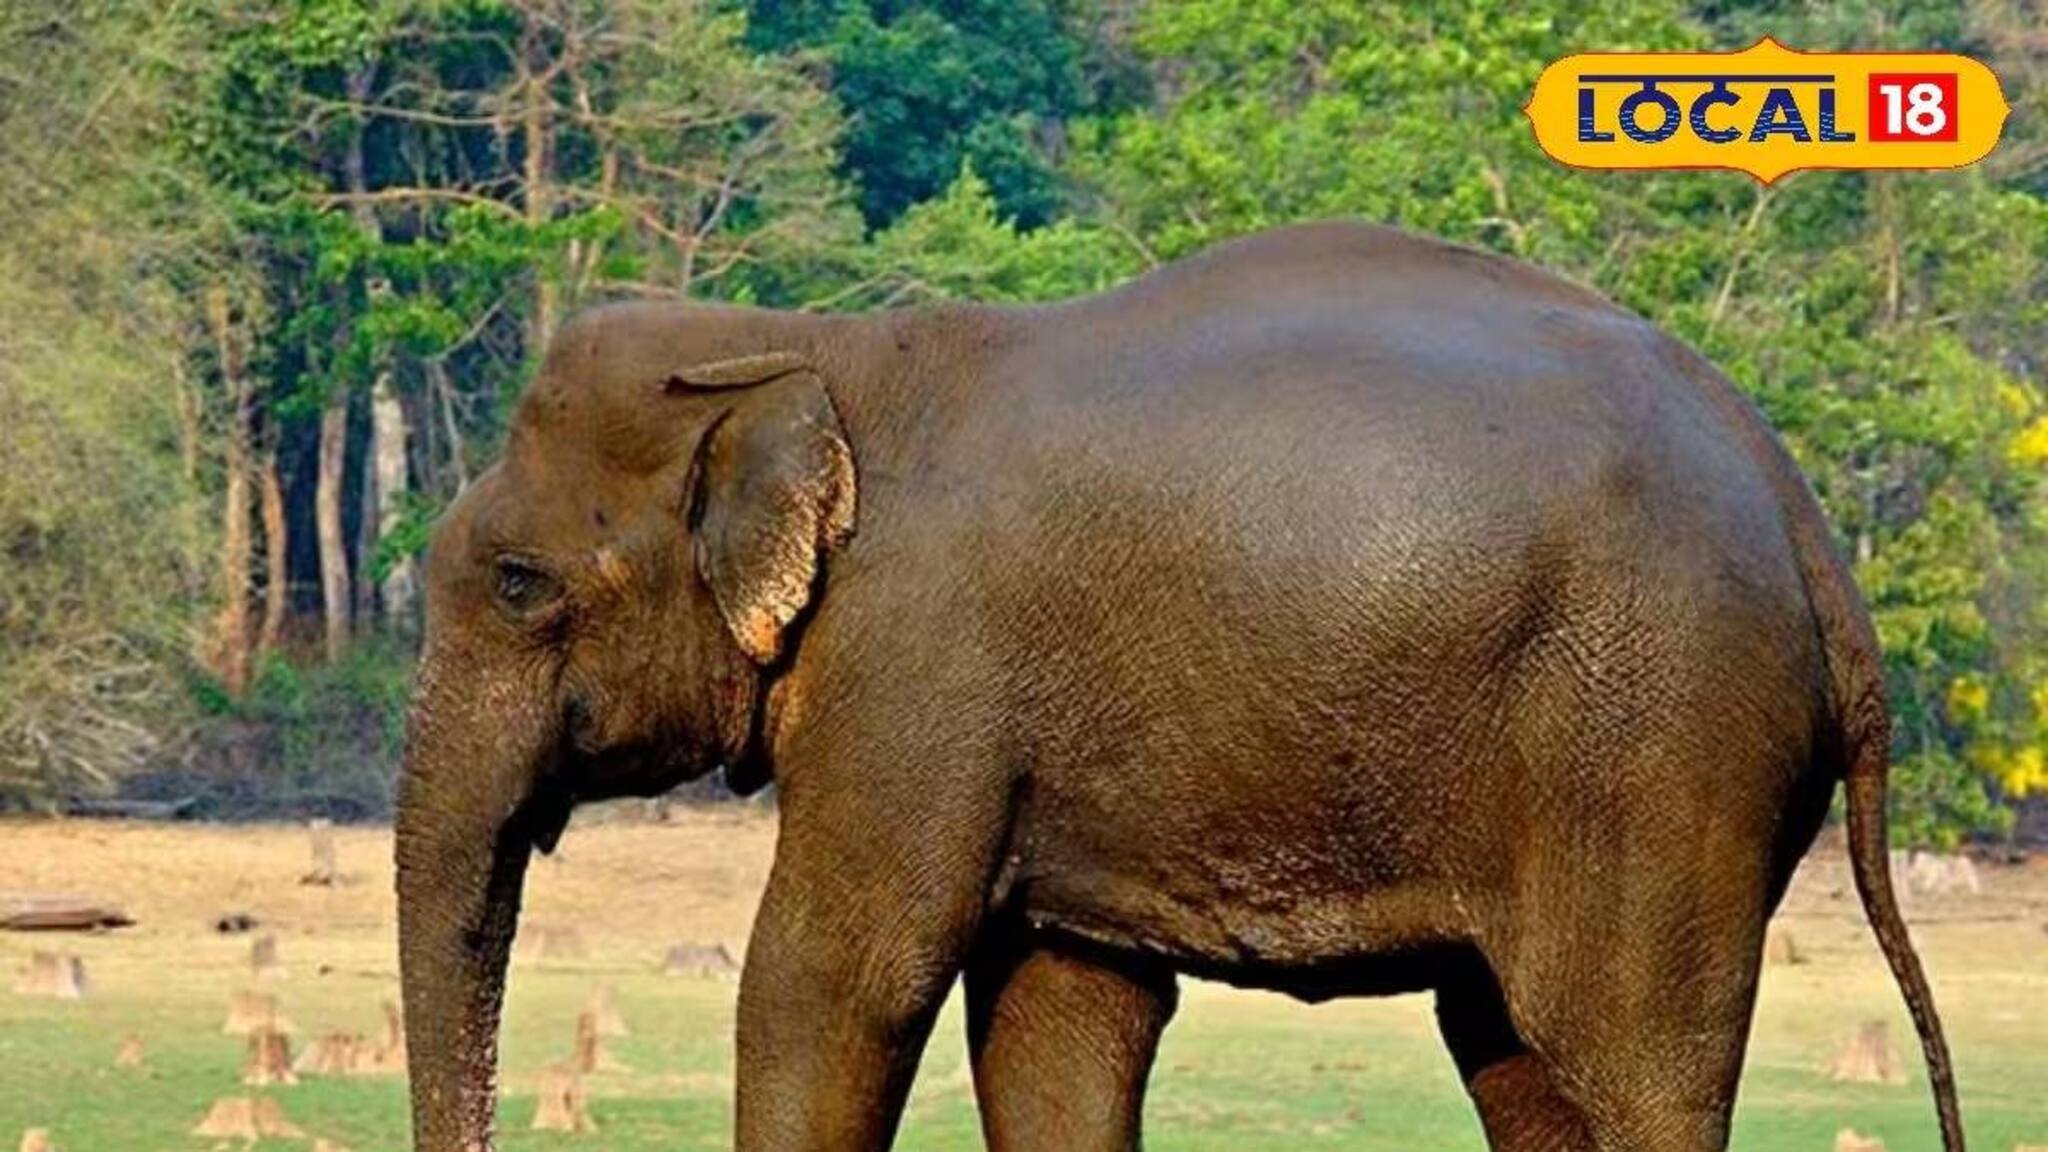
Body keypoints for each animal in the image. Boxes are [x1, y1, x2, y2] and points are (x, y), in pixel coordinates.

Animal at [395, 220, 1963, 1152]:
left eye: (517, 584)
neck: (814, 346)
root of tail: (1806, 521)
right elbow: (1059, 1012)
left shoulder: (917, 657)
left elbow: (835, 975)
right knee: (1515, 1054)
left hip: (1656, 742)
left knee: (1629, 1055)